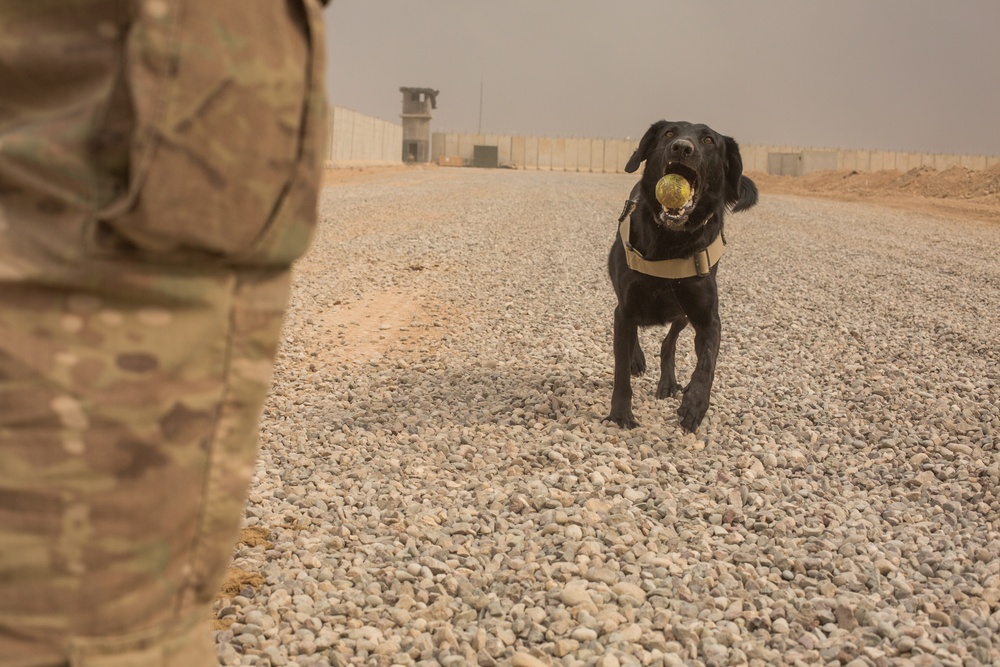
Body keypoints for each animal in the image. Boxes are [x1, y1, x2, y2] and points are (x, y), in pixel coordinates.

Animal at [604, 121, 760, 434]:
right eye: (669, 134)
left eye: (709, 140)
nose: (682, 147)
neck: (670, 240)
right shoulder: (624, 308)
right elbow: (621, 366)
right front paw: (621, 413)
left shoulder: (707, 317)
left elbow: (707, 363)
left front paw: (695, 403)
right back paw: (638, 361)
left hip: (683, 314)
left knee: (669, 343)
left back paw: (670, 383)